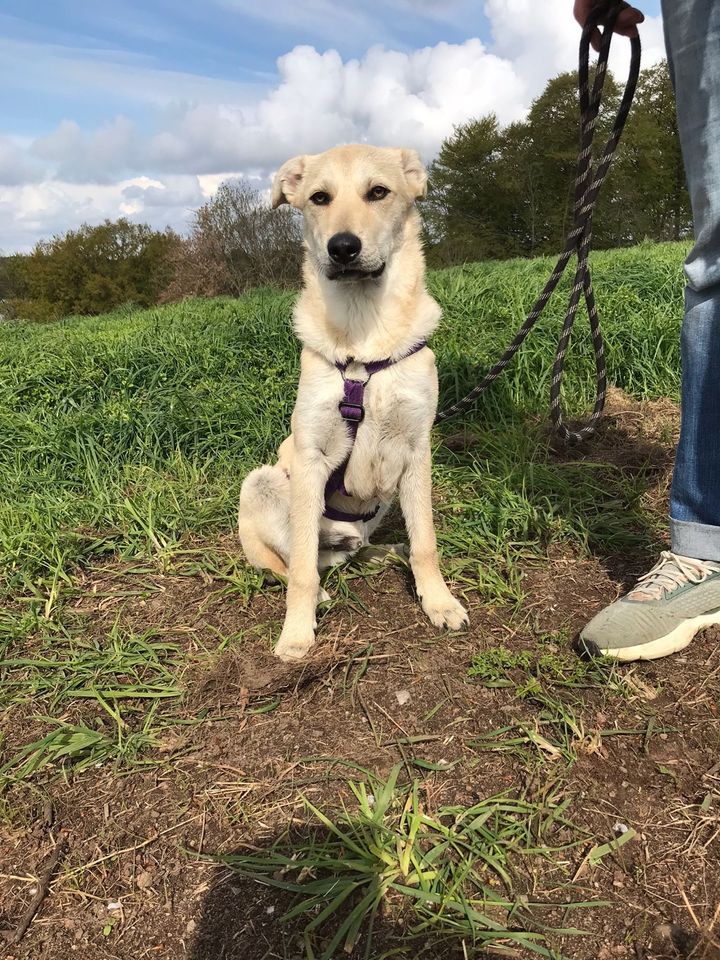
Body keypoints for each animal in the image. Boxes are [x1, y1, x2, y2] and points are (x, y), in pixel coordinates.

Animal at [239, 144, 470, 660]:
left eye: (378, 192)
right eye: (319, 198)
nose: (342, 247)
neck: (365, 337)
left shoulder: (416, 449)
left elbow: (426, 541)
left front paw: (438, 601)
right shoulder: (311, 455)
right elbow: (301, 570)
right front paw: (296, 633)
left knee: (362, 547)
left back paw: (385, 552)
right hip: (260, 482)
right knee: (297, 560)